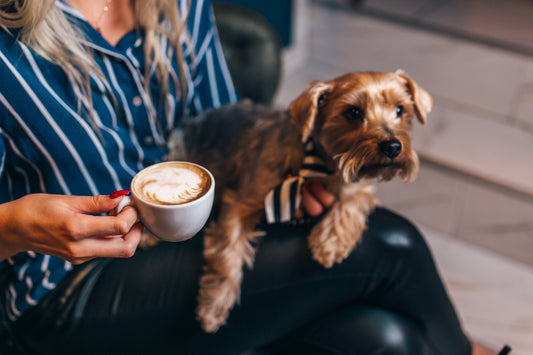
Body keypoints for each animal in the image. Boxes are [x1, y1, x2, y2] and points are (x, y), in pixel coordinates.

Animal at [166, 70, 432, 334]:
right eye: (353, 113)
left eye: (400, 109)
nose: (393, 146)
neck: (323, 166)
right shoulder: (240, 203)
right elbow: (227, 253)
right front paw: (214, 307)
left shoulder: (356, 184)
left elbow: (352, 204)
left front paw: (330, 243)